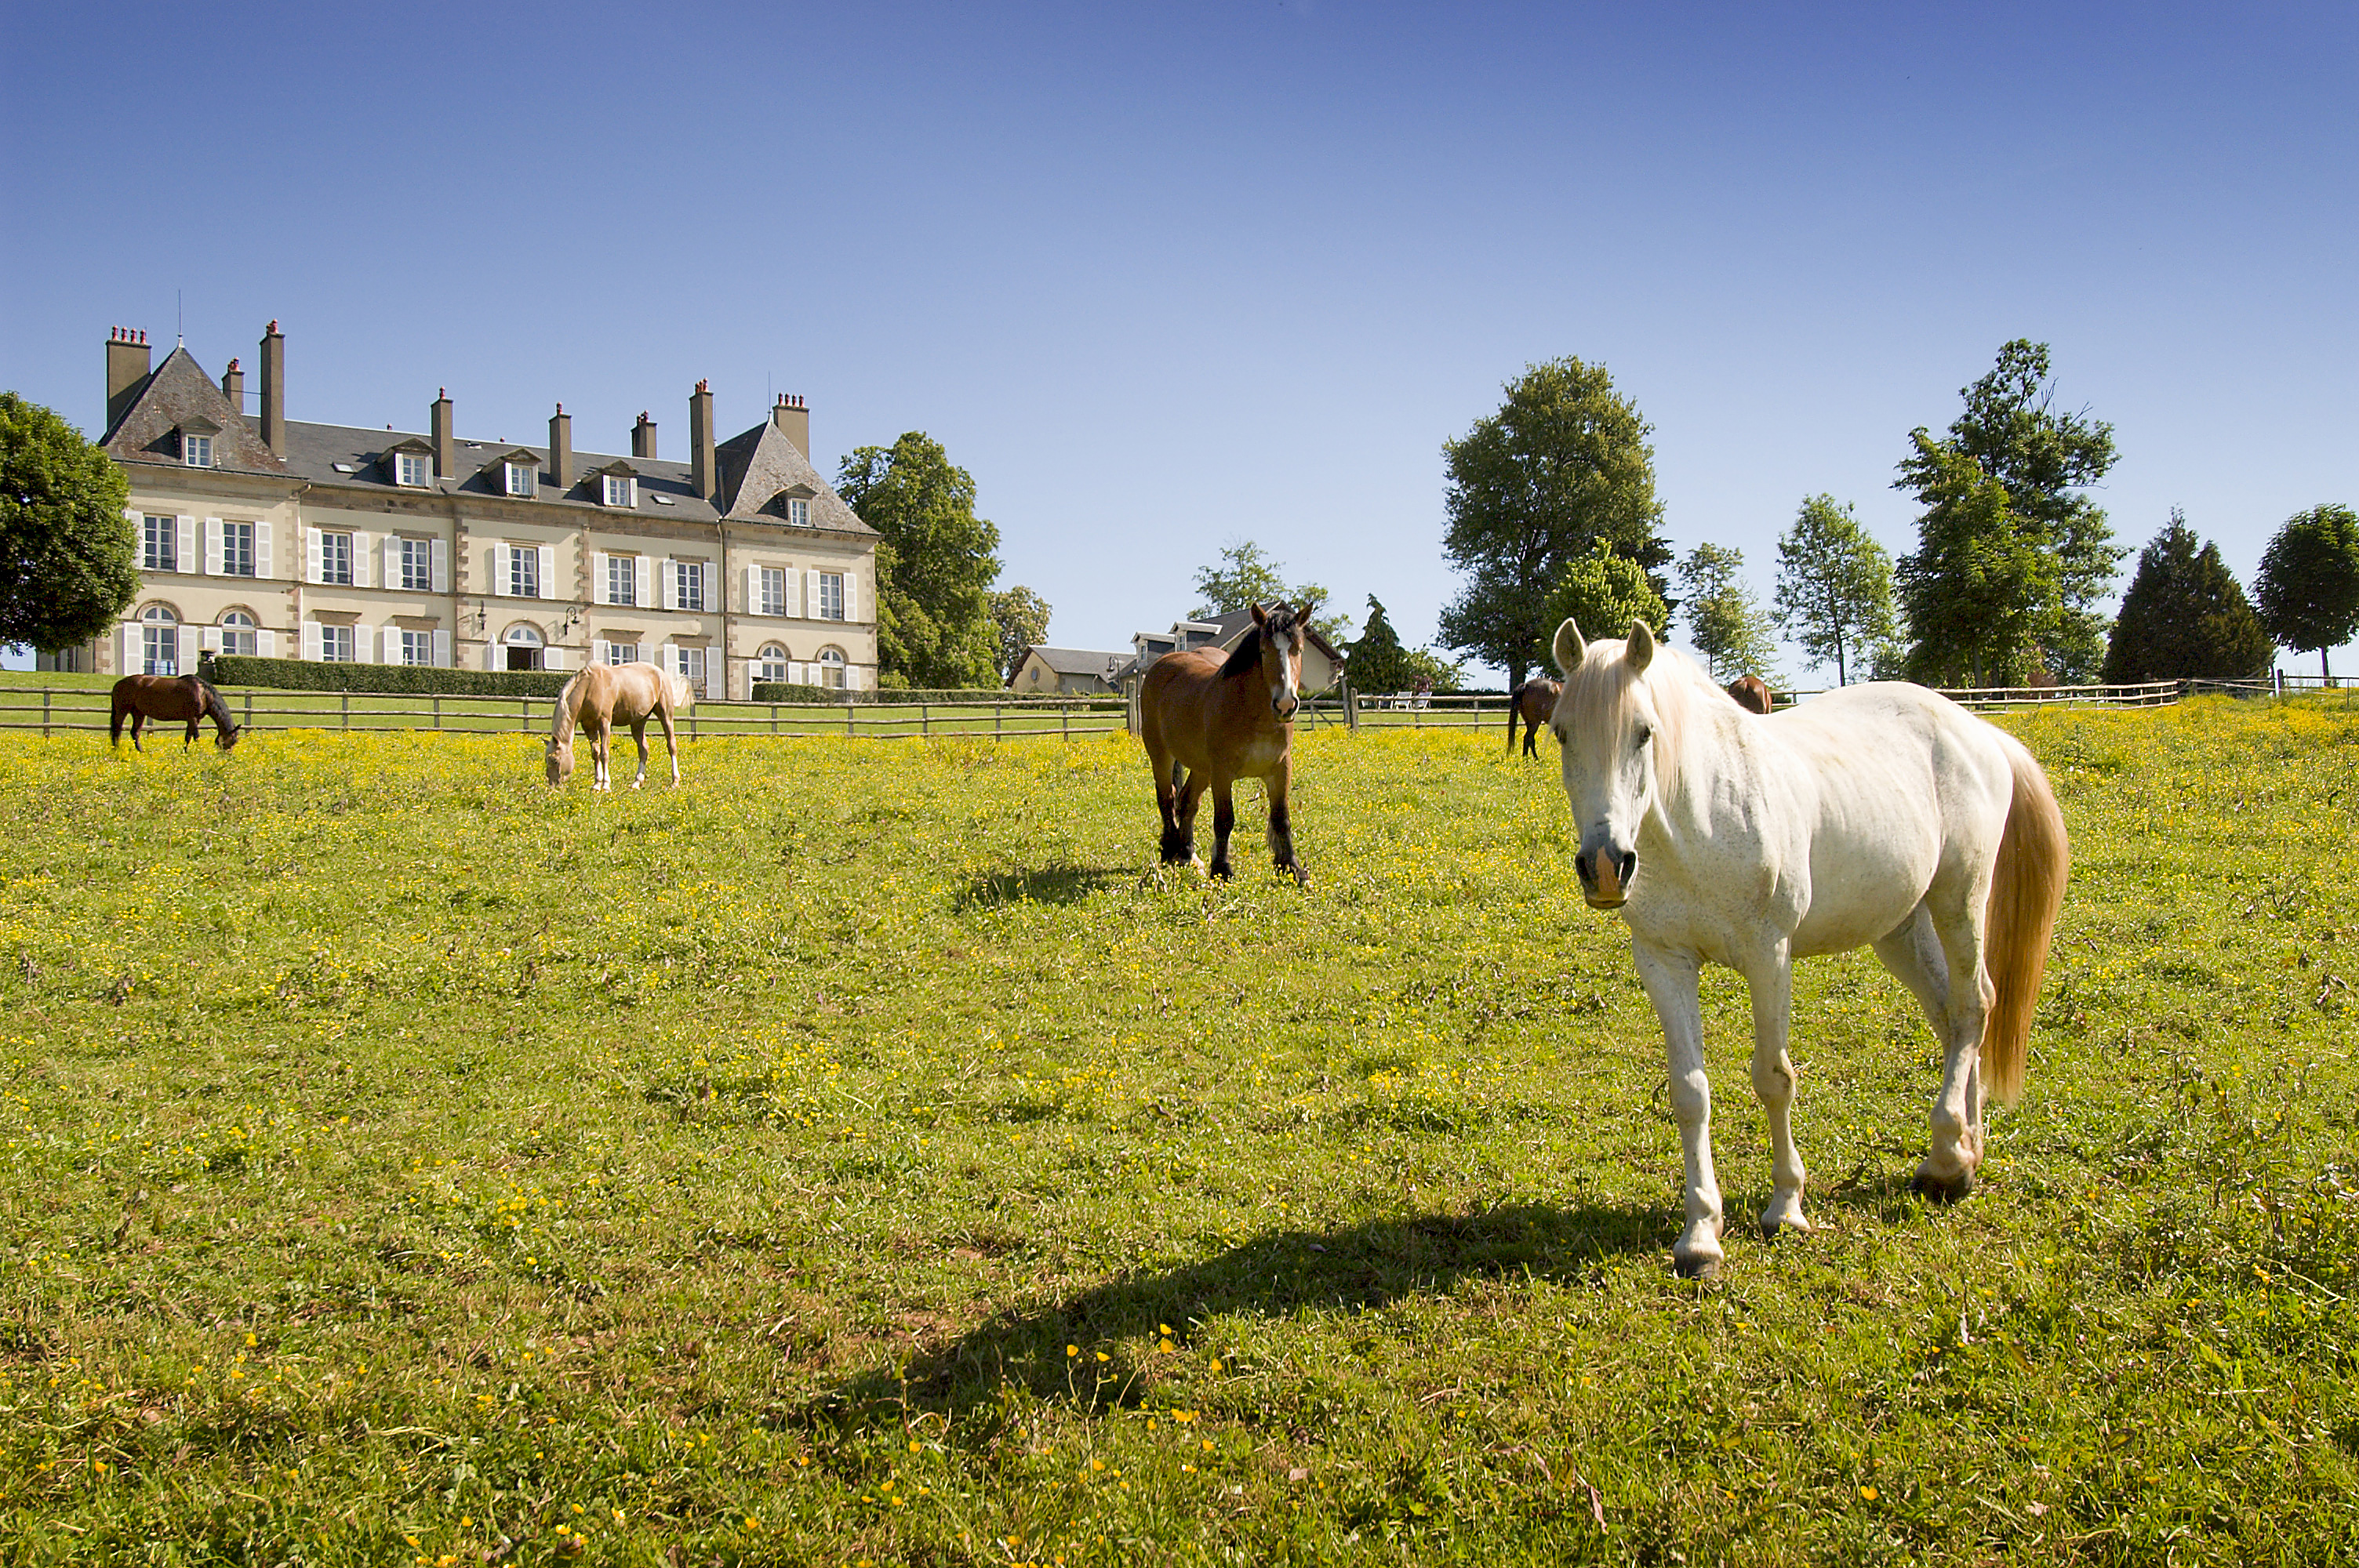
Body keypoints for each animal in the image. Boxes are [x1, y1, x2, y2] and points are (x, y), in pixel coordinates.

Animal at [111, 670, 240, 750]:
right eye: (232, 740)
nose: (227, 756)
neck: (203, 693)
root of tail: (118, 684)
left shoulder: (195, 720)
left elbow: (191, 737)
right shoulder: (192, 718)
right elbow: (193, 737)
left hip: (138, 713)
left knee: (135, 733)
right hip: (122, 710)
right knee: (117, 731)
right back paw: (117, 751)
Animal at [547, 660, 693, 787]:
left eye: (555, 760)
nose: (552, 784)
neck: (590, 686)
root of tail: (661, 673)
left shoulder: (604, 723)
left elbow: (604, 753)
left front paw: (606, 785)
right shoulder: (588, 726)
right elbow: (595, 753)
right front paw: (597, 784)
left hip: (665, 715)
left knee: (671, 745)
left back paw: (675, 781)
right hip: (638, 722)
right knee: (643, 749)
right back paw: (637, 782)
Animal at [1136, 601, 1321, 881]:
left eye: (1298, 650)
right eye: (1264, 651)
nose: (1285, 704)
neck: (1255, 714)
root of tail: (1162, 665)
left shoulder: (1280, 768)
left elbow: (1281, 818)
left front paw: (1292, 867)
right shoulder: (1222, 773)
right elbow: (1224, 818)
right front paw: (1222, 869)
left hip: (1202, 766)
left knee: (1188, 801)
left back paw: (1187, 854)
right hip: (1161, 753)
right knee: (1167, 798)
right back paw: (1170, 850)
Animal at [1547, 617, 2066, 1283]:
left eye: (1644, 732)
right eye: (1562, 732)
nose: (1607, 867)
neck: (1699, 820)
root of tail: (1980, 732)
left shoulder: (1769, 956)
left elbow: (1774, 1079)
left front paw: (1786, 1208)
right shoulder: (1664, 960)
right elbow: (1690, 1093)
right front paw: (1701, 1236)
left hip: (1960, 900)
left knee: (1976, 1005)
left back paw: (1947, 1161)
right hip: (1900, 929)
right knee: (1952, 1019)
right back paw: (1966, 1153)